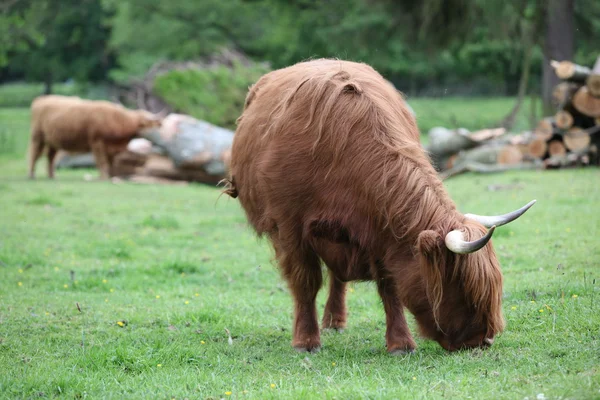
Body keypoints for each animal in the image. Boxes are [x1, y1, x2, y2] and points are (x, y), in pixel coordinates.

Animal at [28, 94, 162, 179]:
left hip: (53, 142)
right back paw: (31, 175)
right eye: (148, 124)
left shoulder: (111, 149)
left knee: (50, 158)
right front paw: (103, 176)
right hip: (37, 137)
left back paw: (52, 176)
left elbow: (110, 162)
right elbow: (102, 162)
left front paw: (111, 176)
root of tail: (42, 99)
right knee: (34, 154)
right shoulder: (97, 143)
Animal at [225, 58, 536, 354]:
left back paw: (335, 321)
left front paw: (400, 344)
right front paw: (305, 341)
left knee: (338, 278)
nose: (484, 339)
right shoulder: (290, 226)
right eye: (460, 284)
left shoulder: (381, 231)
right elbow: (306, 282)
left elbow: (391, 287)